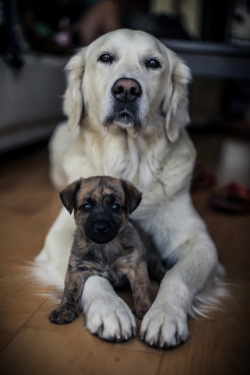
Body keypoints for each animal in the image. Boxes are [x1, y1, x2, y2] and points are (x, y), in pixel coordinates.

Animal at [49, 176, 166, 326]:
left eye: (115, 207)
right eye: (86, 206)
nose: (100, 227)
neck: (104, 247)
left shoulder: (136, 266)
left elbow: (141, 288)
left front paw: (144, 307)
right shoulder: (77, 269)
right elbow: (70, 290)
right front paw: (64, 309)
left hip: (152, 259)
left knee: (159, 269)